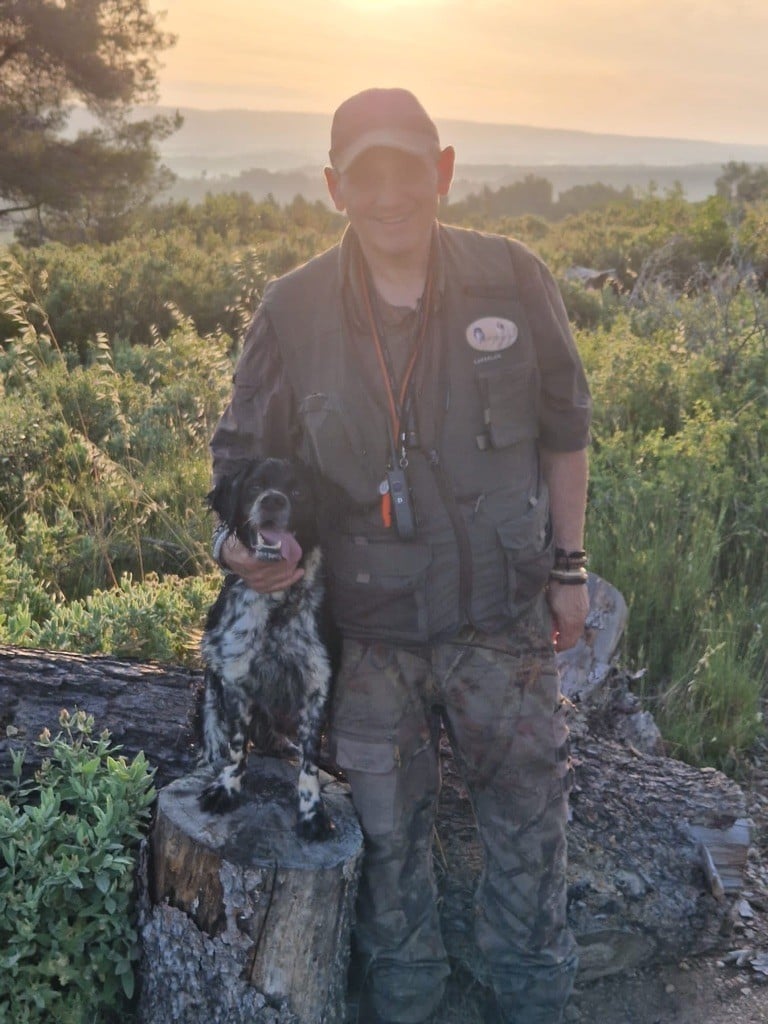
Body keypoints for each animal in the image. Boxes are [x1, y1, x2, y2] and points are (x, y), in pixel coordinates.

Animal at [199, 458, 337, 839]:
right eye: (254, 488)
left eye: (298, 491)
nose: (273, 500)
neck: (279, 604)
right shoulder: (235, 677)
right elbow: (236, 748)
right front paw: (227, 788)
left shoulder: (317, 684)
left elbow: (310, 762)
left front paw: (312, 812)